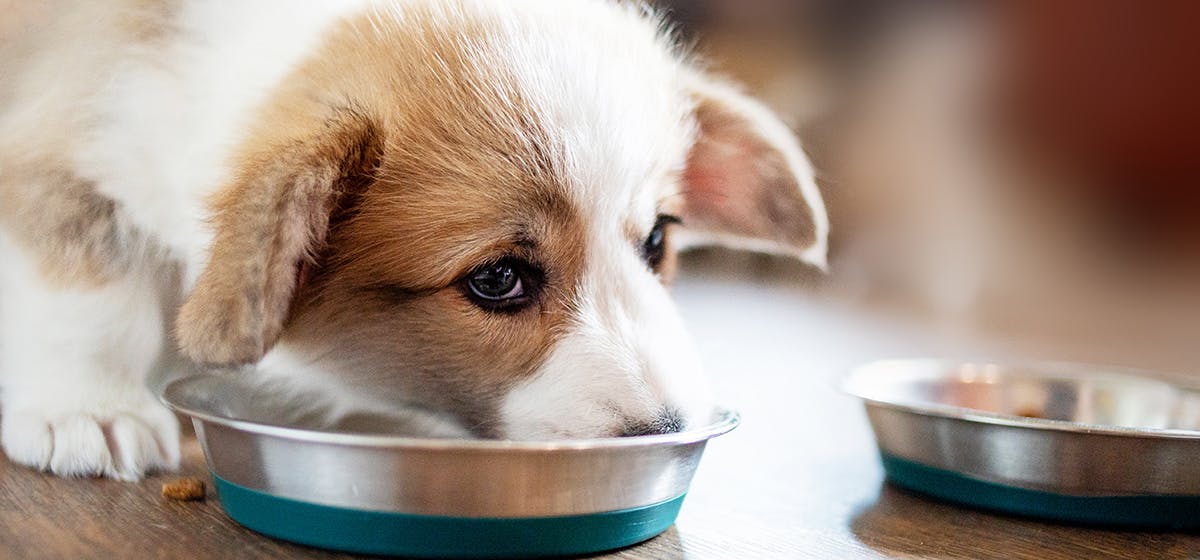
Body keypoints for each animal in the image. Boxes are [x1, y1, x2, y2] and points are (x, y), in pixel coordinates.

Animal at [0, 0, 825, 482]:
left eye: (655, 240)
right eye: (497, 279)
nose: (668, 430)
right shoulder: (68, 142)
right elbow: (89, 295)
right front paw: (89, 410)